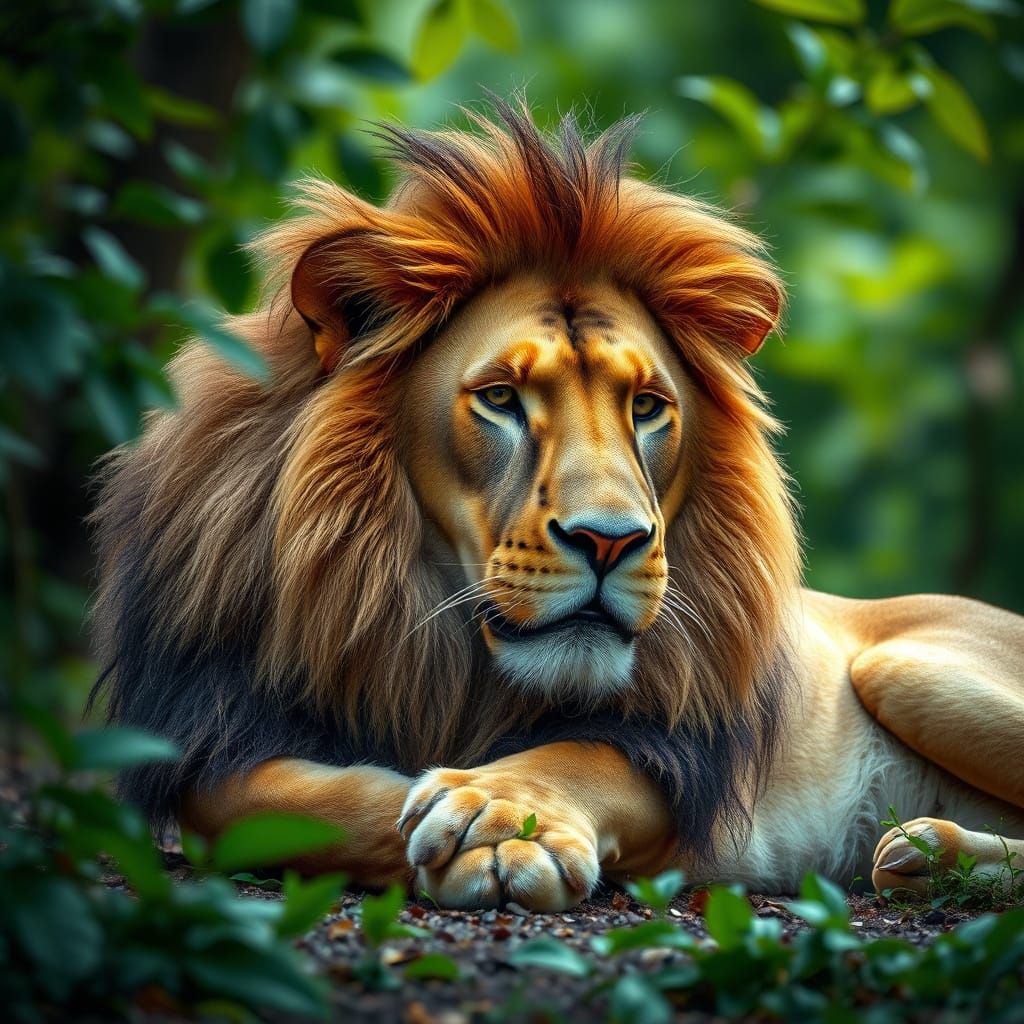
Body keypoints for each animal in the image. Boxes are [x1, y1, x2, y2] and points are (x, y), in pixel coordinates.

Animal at [91, 100, 1024, 911]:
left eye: (646, 406)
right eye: (501, 398)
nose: (610, 542)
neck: (410, 618)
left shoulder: (672, 752)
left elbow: (578, 755)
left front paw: (502, 816)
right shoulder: (214, 717)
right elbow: (245, 804)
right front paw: (433, 802)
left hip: (904, 667)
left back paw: (929, 847)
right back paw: (924, 853)